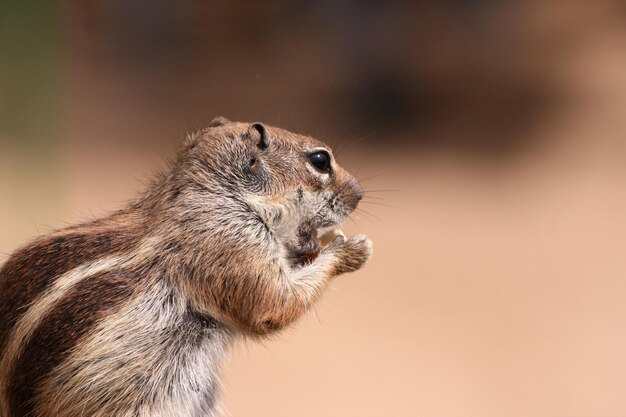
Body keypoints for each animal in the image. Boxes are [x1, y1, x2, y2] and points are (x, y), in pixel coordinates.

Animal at [0, 116, 370, 416]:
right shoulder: (231, 245)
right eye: (320, 161)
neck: (214, 192)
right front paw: (347, 248)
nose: (359, 193)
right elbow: (274, 302)